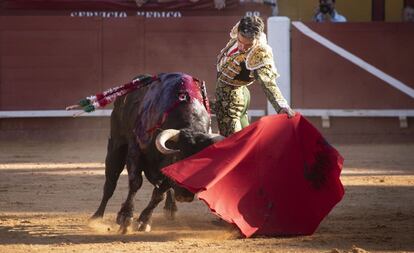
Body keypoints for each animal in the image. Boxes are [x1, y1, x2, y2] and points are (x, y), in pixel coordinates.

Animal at [90, 72, 223, 232]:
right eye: (177, 158)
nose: (185, 195)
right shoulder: (135, 150)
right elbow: (136, 183)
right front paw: (125, 217)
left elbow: (159, 193)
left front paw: (144, 221)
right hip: (116, 145)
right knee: (110, 182)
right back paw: (97, 216)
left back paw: (170, 208)